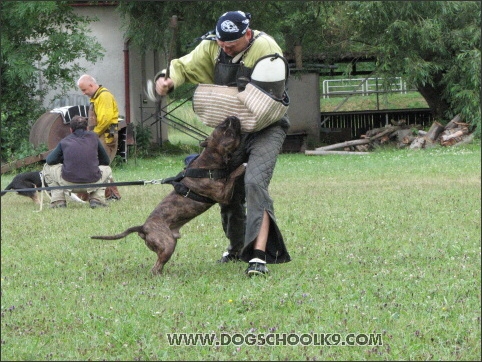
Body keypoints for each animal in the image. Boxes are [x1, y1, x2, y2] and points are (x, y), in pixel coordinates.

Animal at [91, 116, 245, 274]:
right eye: (225, 128)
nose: (232, 117)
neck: (210, 159)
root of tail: (143, 227)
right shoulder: (223, 194)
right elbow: (233, 174)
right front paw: (243, 165)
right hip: (168, 244)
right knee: (156, 267)